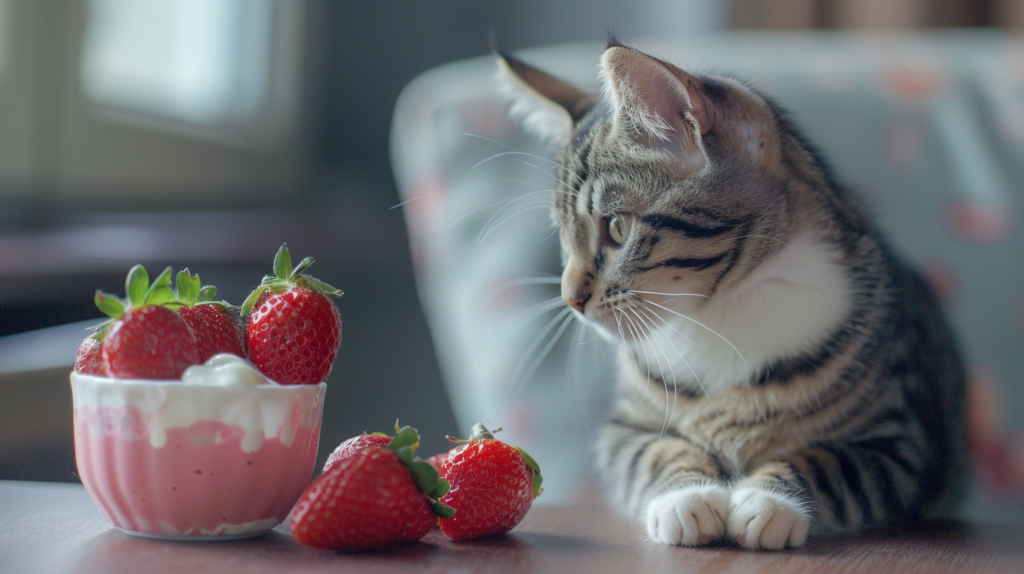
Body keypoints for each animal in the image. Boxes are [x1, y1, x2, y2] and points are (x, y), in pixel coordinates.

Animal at [495, 41, 966, 552]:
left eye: (617, 229)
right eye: (563, 239)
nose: (570, 299)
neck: (718, 312)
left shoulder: (899, 442)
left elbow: (827, 464)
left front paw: (769, 502)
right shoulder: (626, 430)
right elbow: (656, 453)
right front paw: (688, 497)